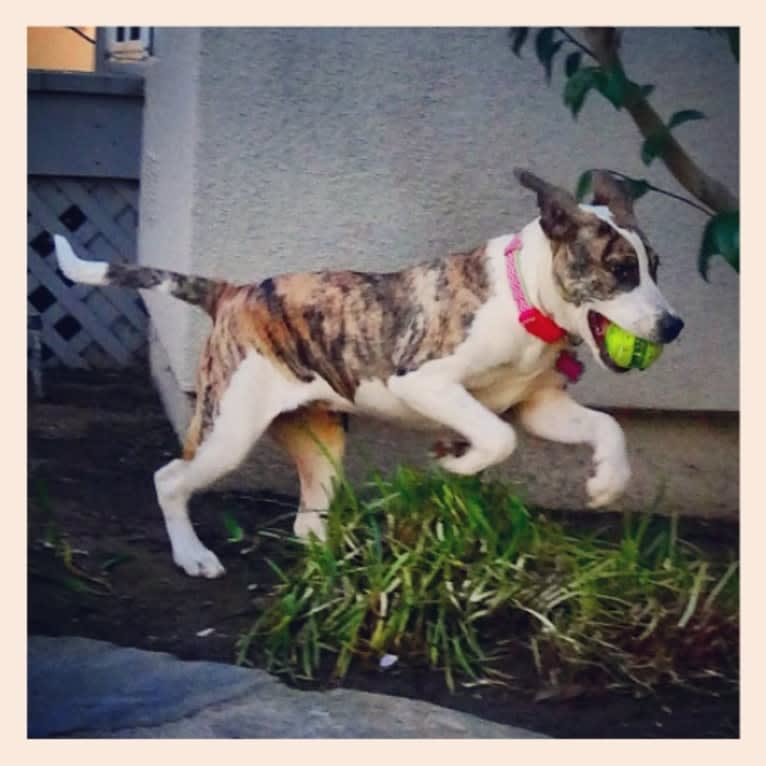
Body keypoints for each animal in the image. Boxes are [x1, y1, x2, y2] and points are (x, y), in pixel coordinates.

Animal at [54, 168, 684, 576]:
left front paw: (607, 482)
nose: (674, 325)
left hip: (321, 437)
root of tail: (233, 293)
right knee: (170, 478)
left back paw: (342, 567)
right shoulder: (423, 380)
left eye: (656, 267)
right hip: (227, 430)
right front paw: (458, 461)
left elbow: (607, 426)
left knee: (306, 521)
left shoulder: (539, 404)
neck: (523, 295)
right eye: (620, 269)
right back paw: (192, 556)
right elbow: (498, 436)